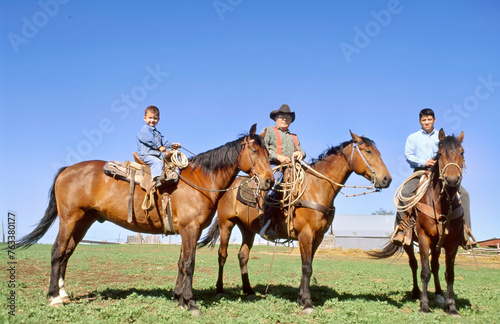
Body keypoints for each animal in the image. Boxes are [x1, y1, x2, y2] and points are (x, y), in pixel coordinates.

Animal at [16, 123, 274, 314]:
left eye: (268, 153)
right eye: (254, 151)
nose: (269, 181)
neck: (199, 181)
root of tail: (67, 169)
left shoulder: (189, 231)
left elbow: (181, 263)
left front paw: (179, 299)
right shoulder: (190, 229)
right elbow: (189, 264)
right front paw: (190, 303)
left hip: (83, 221)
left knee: (67, 253)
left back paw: (63, 293)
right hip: (69, 218)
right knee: (57, 251)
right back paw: (53, 297)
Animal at [198, 131, 390, 314]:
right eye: (368, 151)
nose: (387, 179)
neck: (316, 188)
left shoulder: (318, 237)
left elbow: (308, 266)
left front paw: (301, 298)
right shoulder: (305, 234)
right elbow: (306, 267)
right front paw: (307, 303)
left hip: (248, 229)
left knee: (243, 256)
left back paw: (249, 291)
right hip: (226, 223)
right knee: (222, 255)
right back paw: (220, 290)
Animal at [370, 129, 466, 316]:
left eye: (462, 153)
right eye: (440, 154)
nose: (452, 180)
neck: (442, 205)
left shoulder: (451, 243)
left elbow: (449, 274)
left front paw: (451, 306)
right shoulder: (423, 238)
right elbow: (424, 272)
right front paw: (424, 305)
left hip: (437, 245)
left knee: (435, 266)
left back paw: (439, 294)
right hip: (408, 243)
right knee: (414, 265)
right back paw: (415, 292)